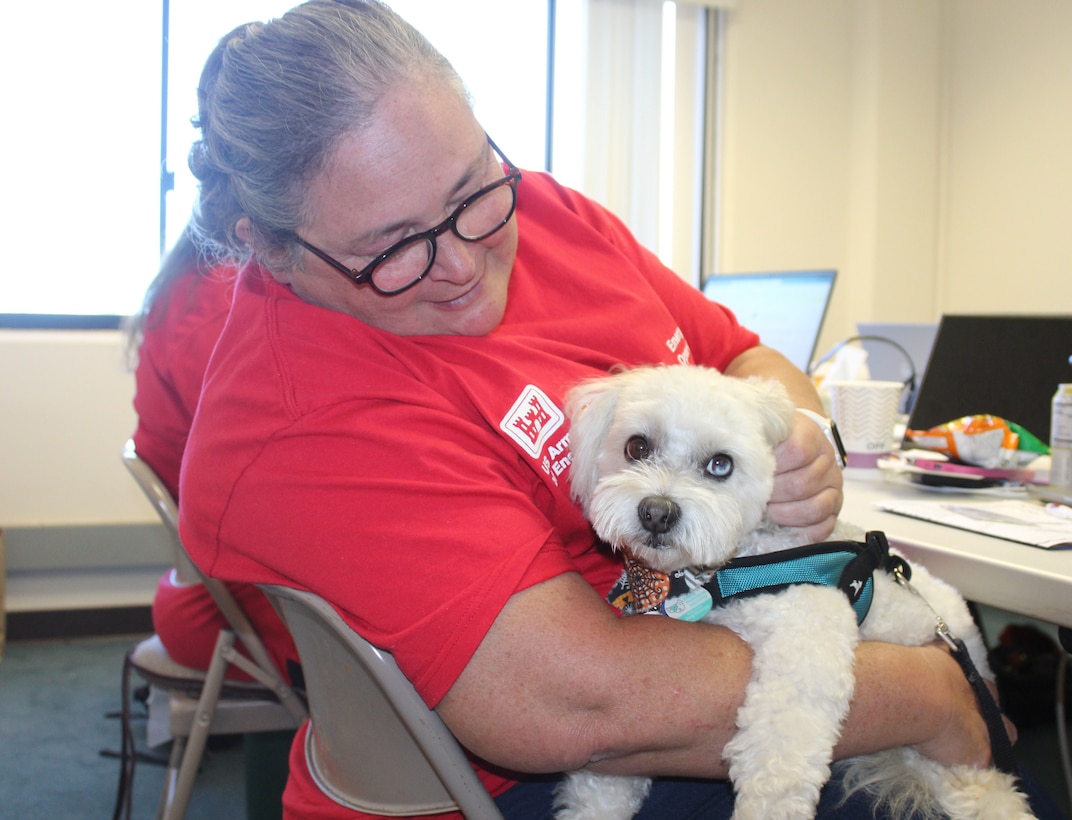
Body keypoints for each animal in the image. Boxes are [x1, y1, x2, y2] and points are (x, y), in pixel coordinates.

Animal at [553, 364, 1029, 818]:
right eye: (637, 447)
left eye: (720, 464)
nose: (656, 512)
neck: (729, 572)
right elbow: (609, 775)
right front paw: (596, 805)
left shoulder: (807, 637)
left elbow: (780, 749)